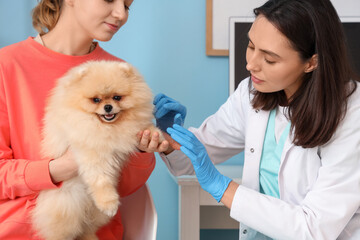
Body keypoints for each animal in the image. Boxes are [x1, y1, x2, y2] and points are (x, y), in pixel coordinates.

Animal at [31, 60, 163, 240]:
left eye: (117, 97)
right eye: (95, 100)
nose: (107, 107)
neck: (108, 126)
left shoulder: (132, 128)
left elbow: (143, 128)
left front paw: (157, 136)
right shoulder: (92, 153)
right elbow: (101, 179)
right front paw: (108, 203)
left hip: (95, 215)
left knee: (87, 227)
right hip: (66, 206)